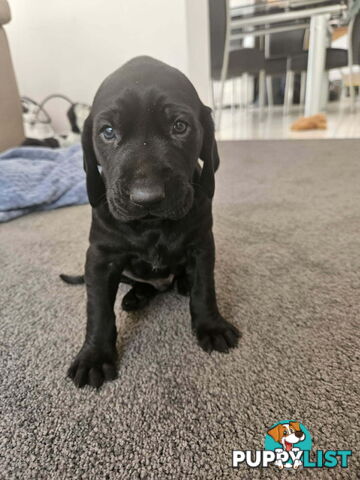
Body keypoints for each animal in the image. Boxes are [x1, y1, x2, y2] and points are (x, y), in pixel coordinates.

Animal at [64, 56, 239, 388]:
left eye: (180, 126)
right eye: (108, 131)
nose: (147, 198)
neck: (152, 226)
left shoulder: (201, 246)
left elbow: (204, 290)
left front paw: (211, 326)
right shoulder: (101, 258)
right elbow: (98, 309)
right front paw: (94, 355)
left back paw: (180, 283)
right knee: (138, 283)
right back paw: (136, 296)